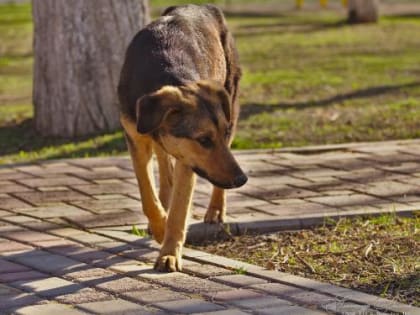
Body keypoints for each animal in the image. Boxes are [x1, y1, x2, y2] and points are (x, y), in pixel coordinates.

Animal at [116, 3, 246, 272]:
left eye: (221, 134)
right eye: (204, 140)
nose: (242, 179)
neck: (164, 72)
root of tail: (203, 6)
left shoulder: (189, 158)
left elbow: (179, 209)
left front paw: (169, 253)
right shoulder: (136, 138)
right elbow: (148, 195)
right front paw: (159, 227)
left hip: (231, 99)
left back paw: (216, 210)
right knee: (164, 170)